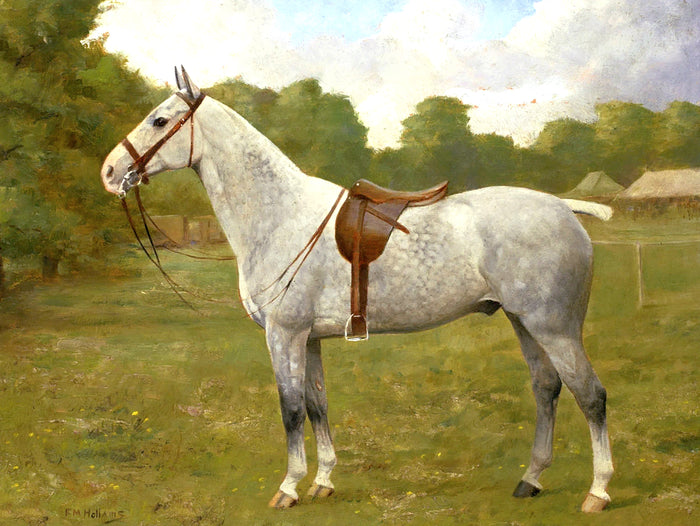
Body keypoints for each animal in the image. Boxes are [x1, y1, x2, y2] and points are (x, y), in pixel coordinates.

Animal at [101, 67, 613, 513]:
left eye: (159, 120)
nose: (109, 171)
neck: (280, 215)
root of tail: (566, 208)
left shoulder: (283, 334)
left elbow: (290, 409)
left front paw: (288, 487)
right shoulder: (307, 339)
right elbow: (316, 405)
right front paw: (323, 481)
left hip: (555, 327)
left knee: (590, 395)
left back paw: (598, 491)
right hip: (523, 322)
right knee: (546, 388)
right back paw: (531, 479)